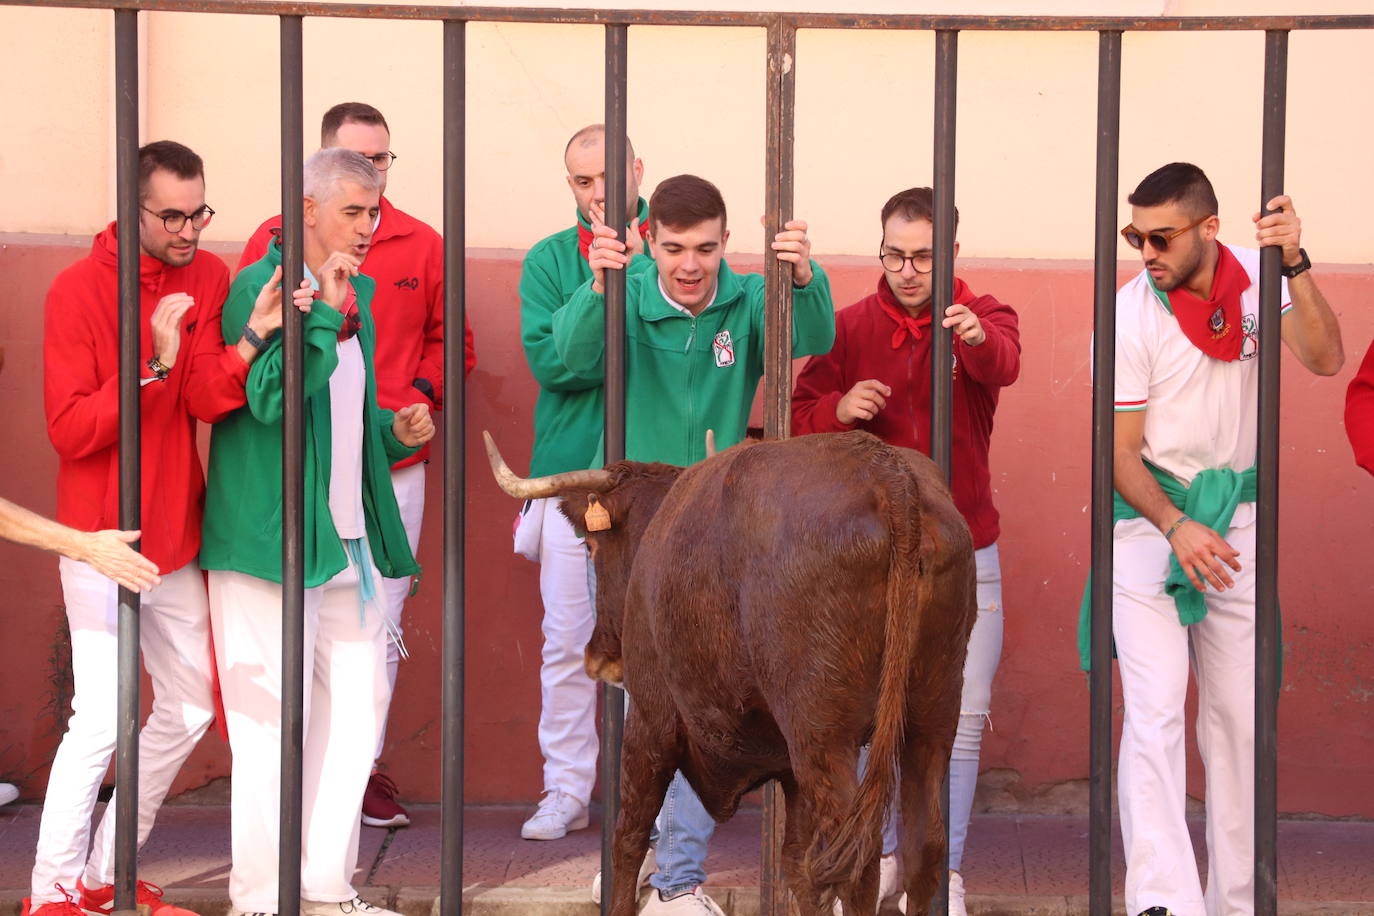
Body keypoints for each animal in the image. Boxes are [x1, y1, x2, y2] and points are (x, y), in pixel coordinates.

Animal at [483, 431, 978, 916]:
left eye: (590, 545)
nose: (600, 659)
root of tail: (885, 472)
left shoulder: (649, 721)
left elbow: (629, 837)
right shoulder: (790, 770)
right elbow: (796, 864)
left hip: (822, 733)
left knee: (857, 860)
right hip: (931, 720)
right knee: (922, 846)